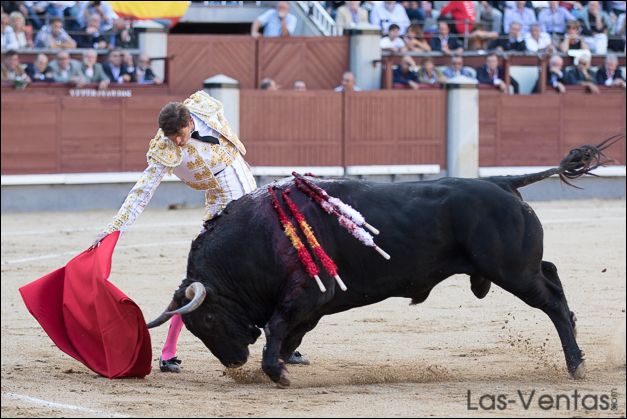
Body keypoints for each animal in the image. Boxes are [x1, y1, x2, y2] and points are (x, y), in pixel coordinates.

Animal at [150, 139, 620, 388]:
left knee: (552, 302)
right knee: (554, 278)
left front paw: (275, 372)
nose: (233, 363)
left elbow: (277, 327)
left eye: (208, 321)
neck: (258, 238)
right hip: (517, 268)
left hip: (513, 271)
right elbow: (286, 333)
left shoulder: (305, 295)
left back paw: (576, 364)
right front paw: (282, 364)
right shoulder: (314, 303)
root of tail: (503, 182)